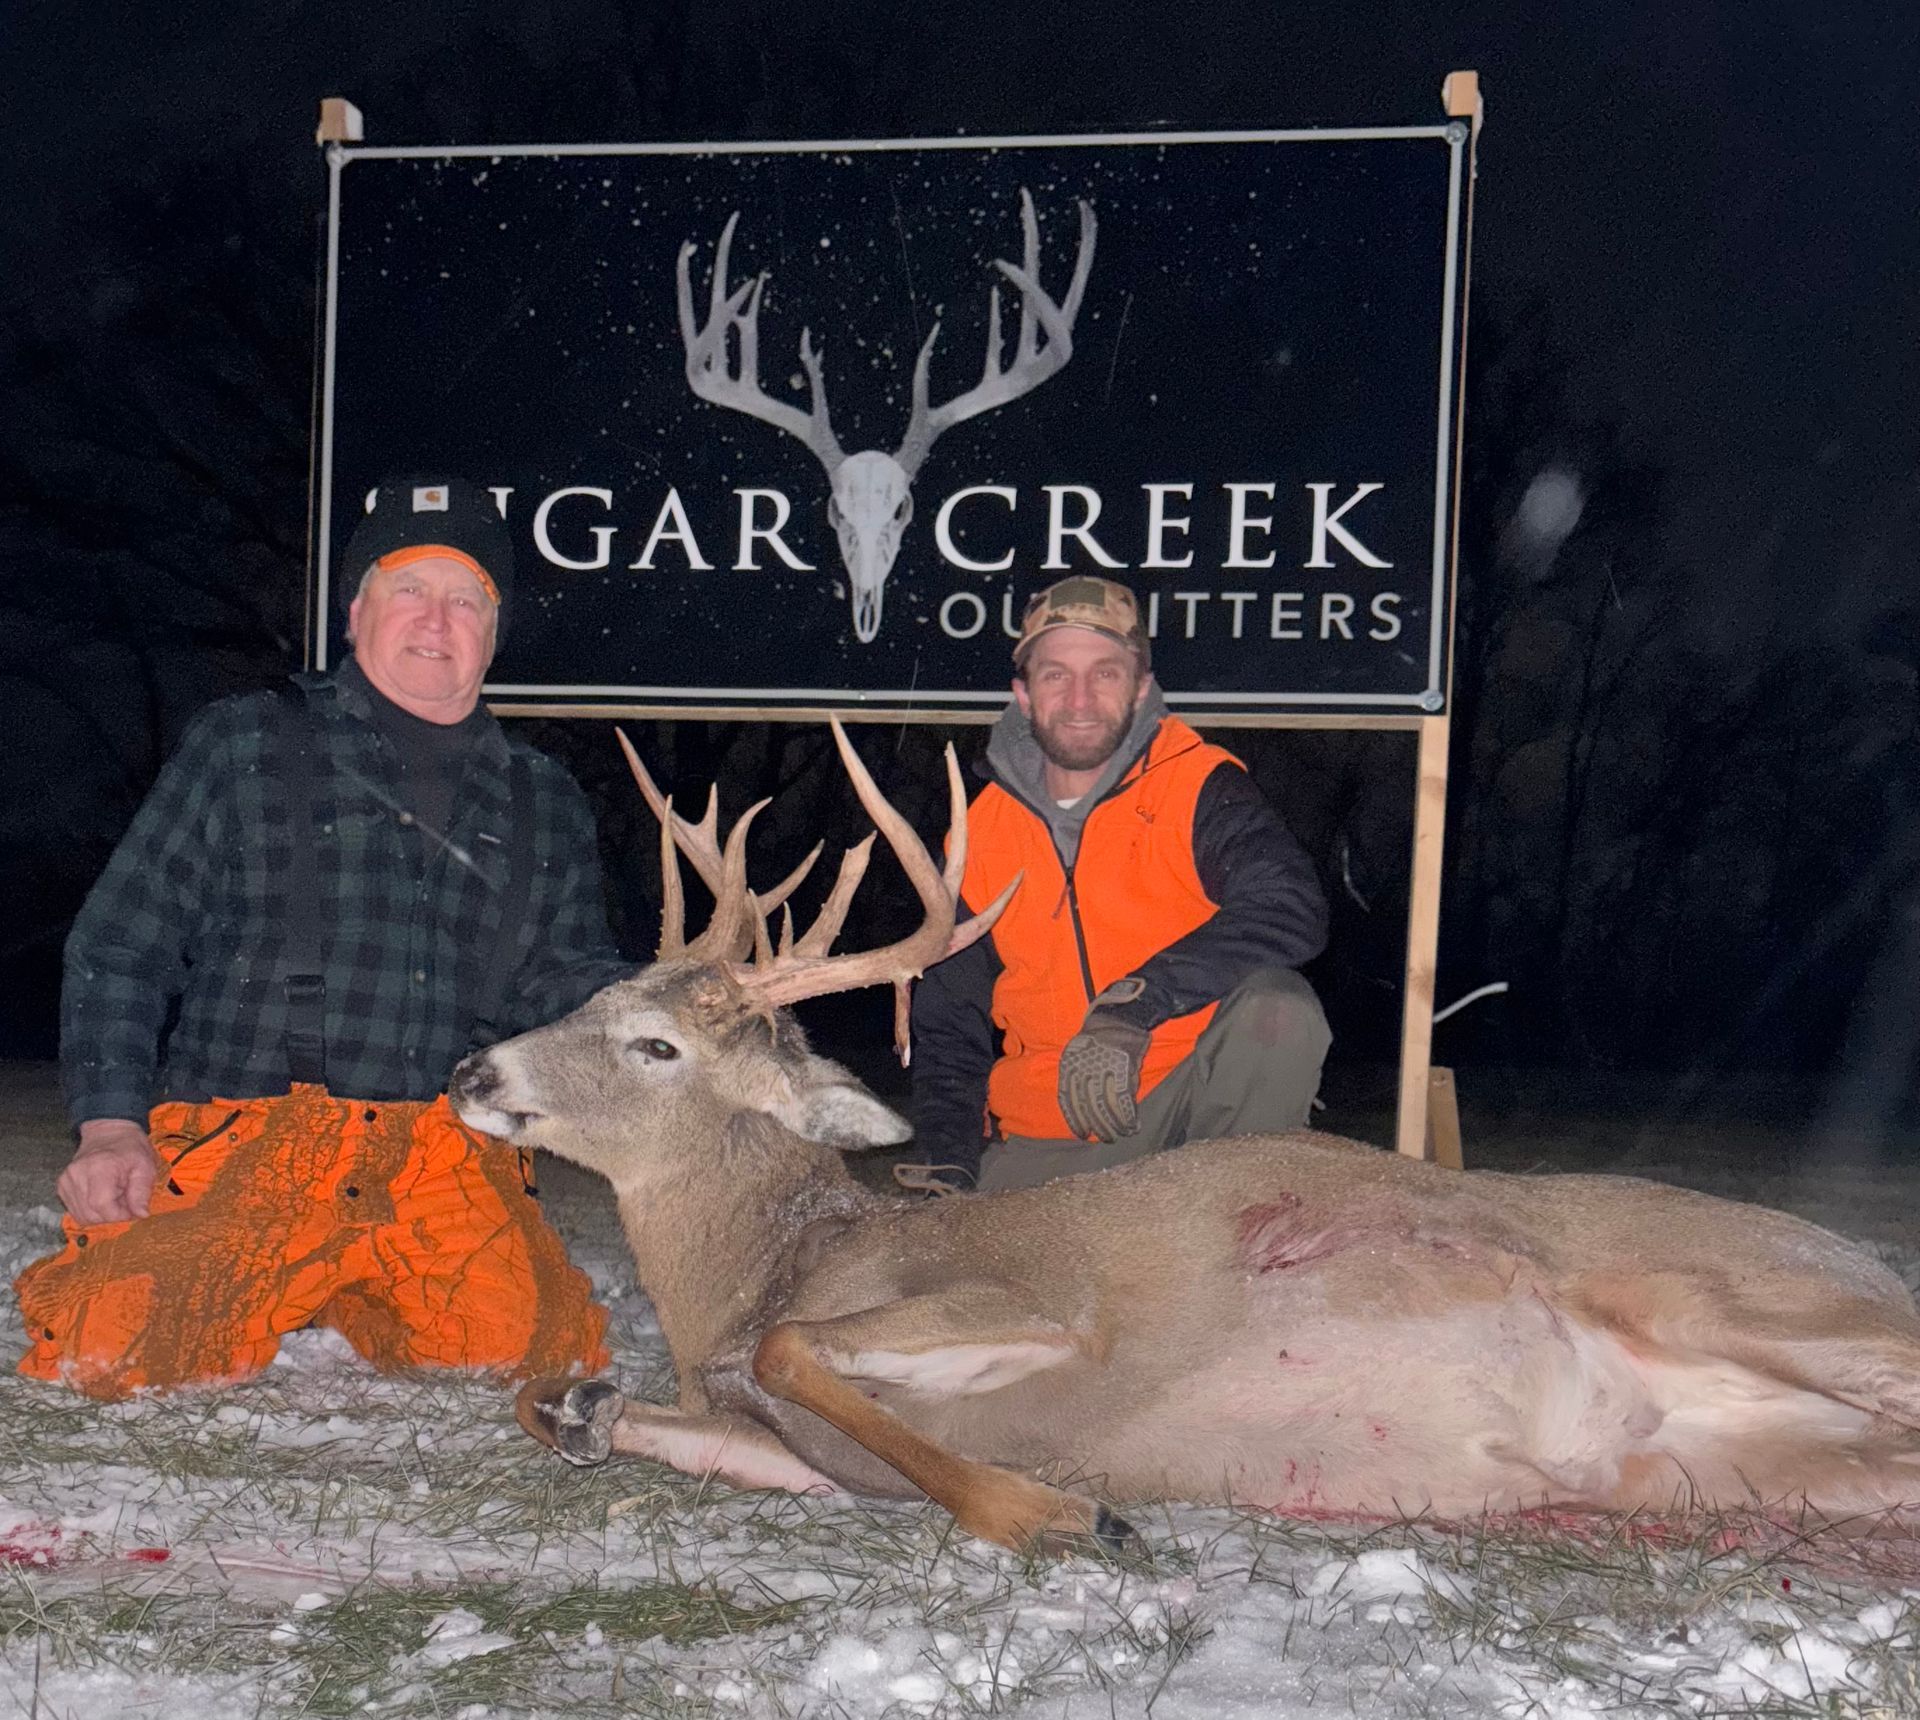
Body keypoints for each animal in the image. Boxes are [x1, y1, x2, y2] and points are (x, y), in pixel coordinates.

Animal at [450, 722, 1920, 1557]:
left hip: (1740, 1292)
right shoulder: (769, 1442)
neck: (762, 1267)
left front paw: (1062, 1512)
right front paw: (582, 1408)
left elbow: (795, 1351)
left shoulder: (1031, 1300)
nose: (471, 1067)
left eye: (658, 1046)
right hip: (1731, 1462)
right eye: (597, 999)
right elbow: (581, 1405)